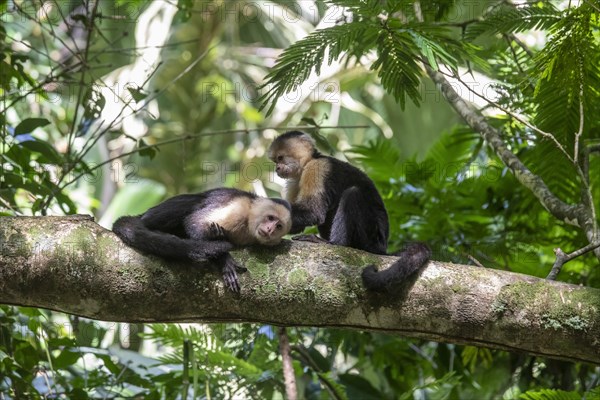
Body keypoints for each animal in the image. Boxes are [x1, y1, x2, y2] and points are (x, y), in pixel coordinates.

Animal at [113, 186, 292, 292]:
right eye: (270, 218)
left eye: (278, 226)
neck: (249, 223)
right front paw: (225, 259)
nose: (270, 229)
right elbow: (194, 222)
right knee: (193, 202)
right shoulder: (239, 208)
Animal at [268, 131, 432, 290]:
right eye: (275, 161)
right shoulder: (294, 182)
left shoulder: (317, 168)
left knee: (352, 194)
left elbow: (313, 212)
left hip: (371, 238)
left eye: (280, 158)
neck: (308, 162)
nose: (277, 168)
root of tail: (382, 248)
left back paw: (335, 244)